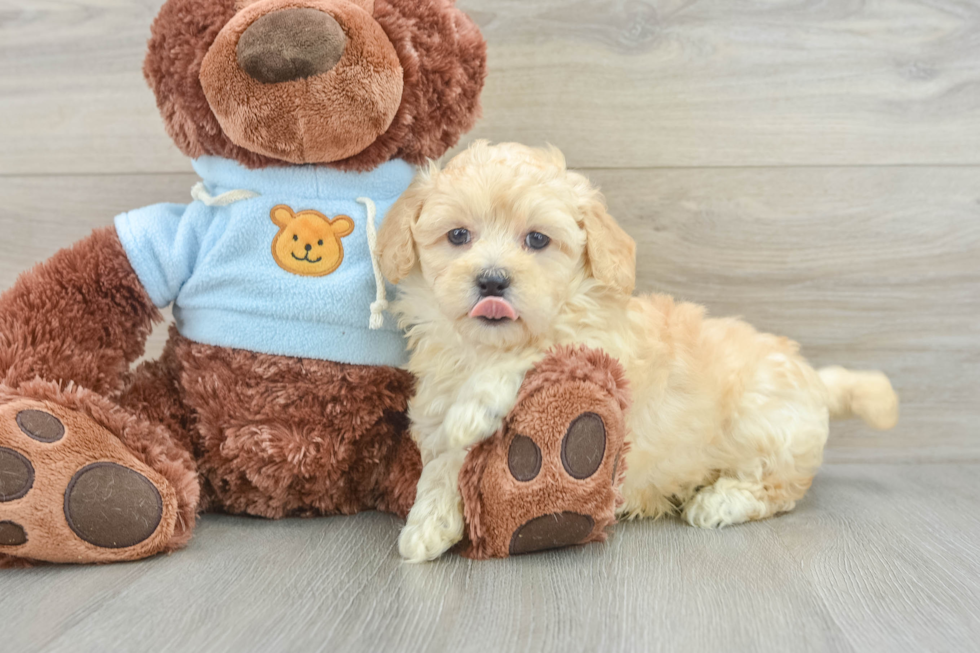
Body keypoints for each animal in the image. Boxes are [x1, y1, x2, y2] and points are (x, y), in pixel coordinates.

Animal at [378, 141, 900, 560]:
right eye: (458, 235)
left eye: (537, 239)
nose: (491, 280)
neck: (484, 347)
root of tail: (814, 378)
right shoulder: (436, 401)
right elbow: (442, 465)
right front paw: (428, 525)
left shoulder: (598, 351)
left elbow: (535, 356)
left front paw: (472, 410)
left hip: (764, 426)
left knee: (780, 487)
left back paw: (720, 501)